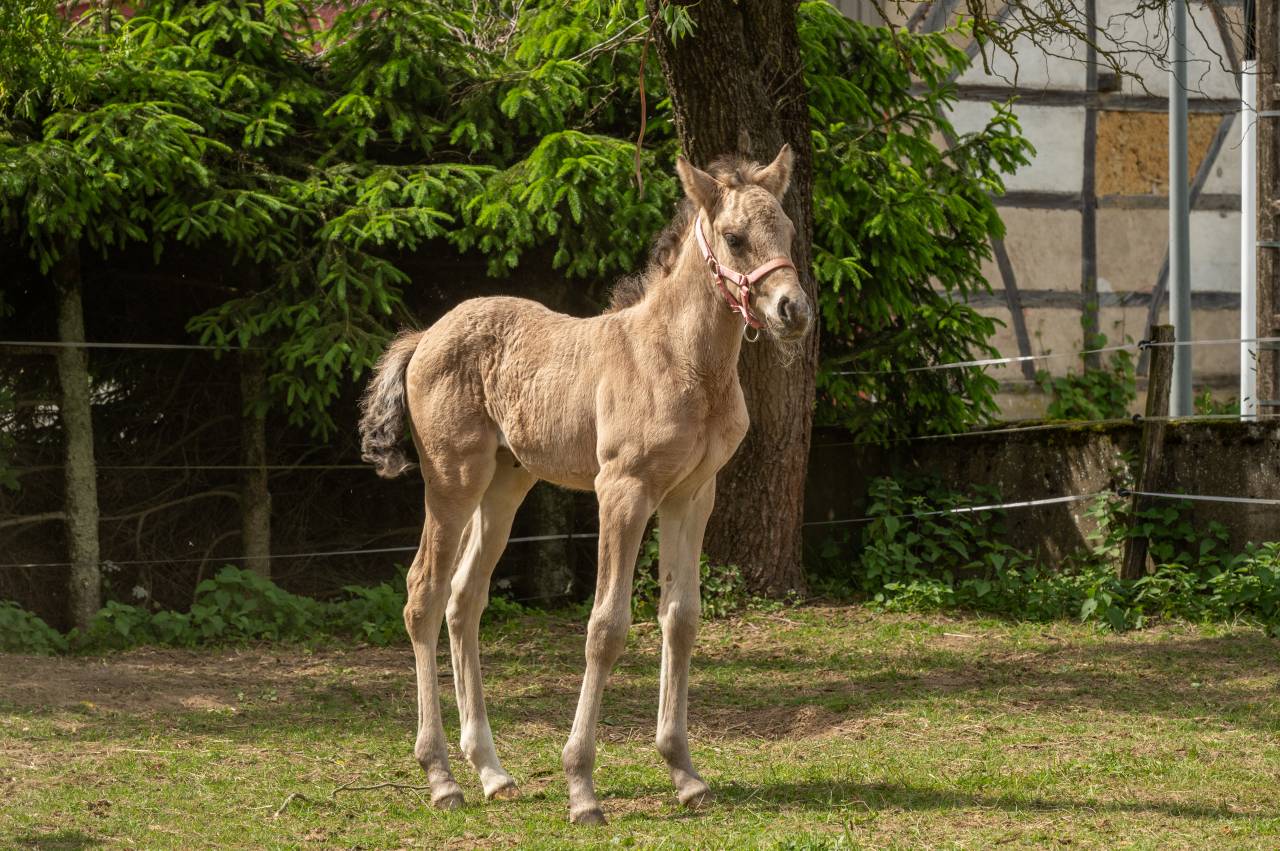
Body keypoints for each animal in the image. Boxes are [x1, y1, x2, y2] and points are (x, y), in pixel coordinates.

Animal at [358, 145, 813, 824]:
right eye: (733, 238)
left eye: (785, 231)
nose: (793, 311)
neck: (681, 360)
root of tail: (424, 337)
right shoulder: (622, 491)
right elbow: (606, 627)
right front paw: (582, 788)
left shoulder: (691, 495)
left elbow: (681, 617)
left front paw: (684, 773)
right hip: (452, 481)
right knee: (423, 595)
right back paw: (441, 777)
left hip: (505, 486)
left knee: (464, 598)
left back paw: (491, 770)